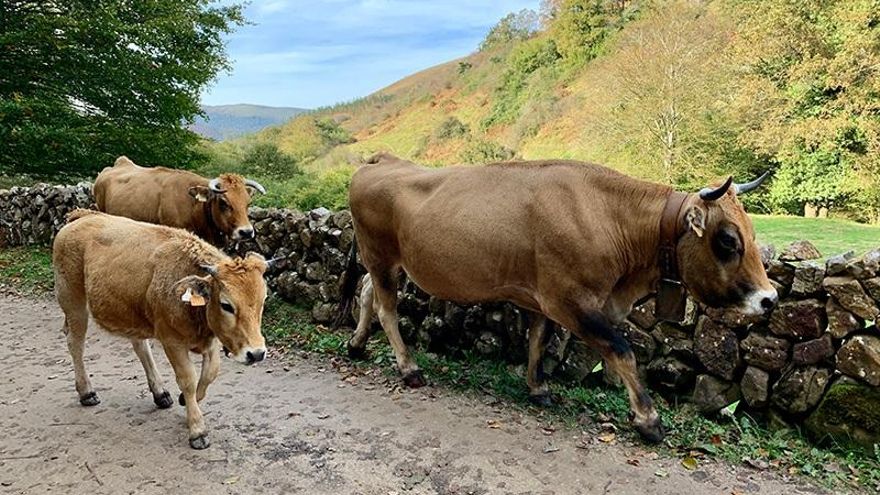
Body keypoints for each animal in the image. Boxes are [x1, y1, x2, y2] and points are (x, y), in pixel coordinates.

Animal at [53, 209, 270, 449]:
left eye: (263, 300)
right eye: (226, 305)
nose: (256, 353)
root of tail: (83, 215)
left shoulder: (211, 340)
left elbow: (210, 373)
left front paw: (187, 401)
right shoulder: (171, 341)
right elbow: (188, 379)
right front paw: (197, 429)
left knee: (140, 346)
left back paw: (159, 393)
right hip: (73, 301)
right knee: (75, 343)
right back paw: (86, 392)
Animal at [336, 152, 776, 442]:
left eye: (753, 234)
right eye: (727, 240)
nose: (769, 298)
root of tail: (383, 159)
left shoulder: (544, 298)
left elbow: (539, 340)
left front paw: (538, 388)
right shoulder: (573, 301)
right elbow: (623, 351)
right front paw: (648, 420)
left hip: (387, 263)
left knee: (366, 293)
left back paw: (356, 345)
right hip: (381, 255)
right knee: (386, 308)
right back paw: (408, 367)